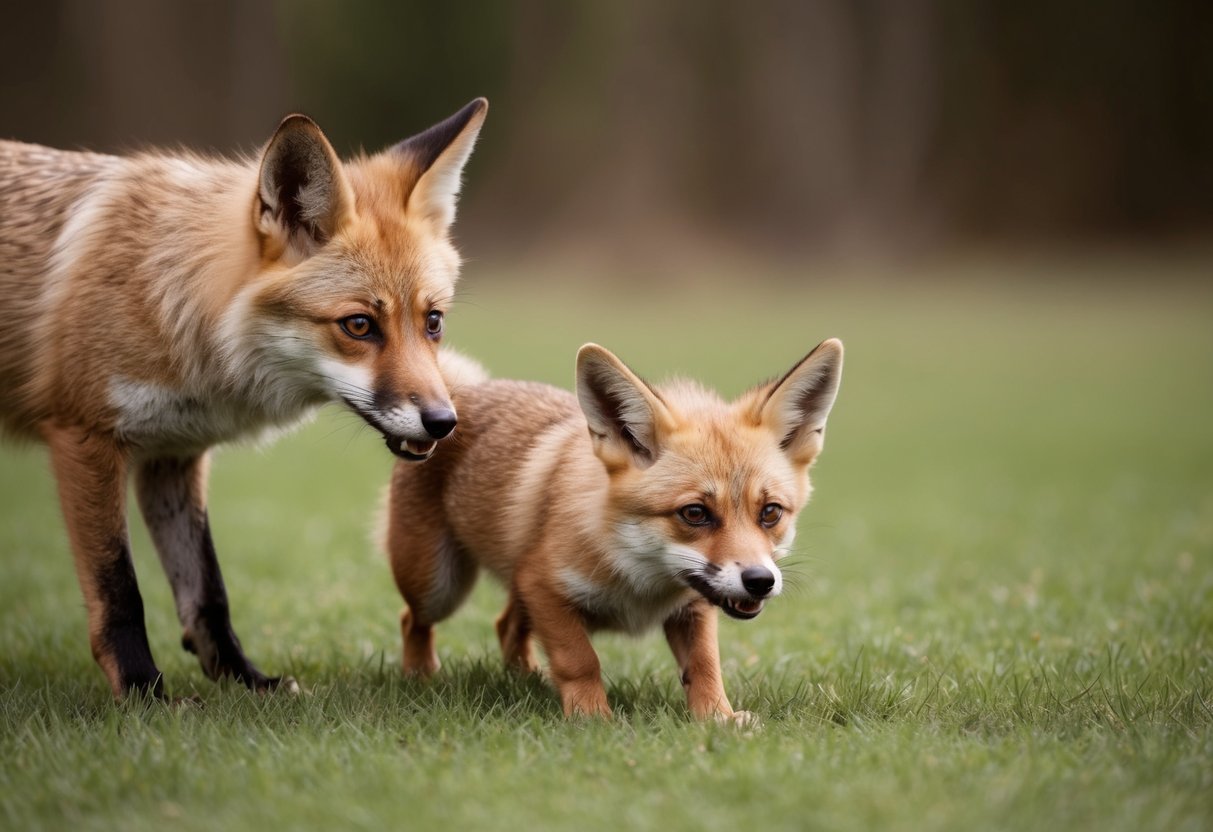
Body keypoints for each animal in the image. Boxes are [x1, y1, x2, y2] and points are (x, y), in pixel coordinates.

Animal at [0, 98, 488, 700]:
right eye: (358, 325)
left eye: (433, 322)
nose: (444, 422)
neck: (168, 298)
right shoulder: (84, 436)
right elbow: (120, 590)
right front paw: (143, 692)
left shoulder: (173, 454)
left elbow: (208, 590)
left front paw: (244, 681)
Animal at [385, 339, 843, 720]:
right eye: (695, 513)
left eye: (770, 513)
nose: (760, 581)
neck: (641, 576)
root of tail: (462, 395)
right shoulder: (544, 586)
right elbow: (580, 660)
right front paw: (592, 720)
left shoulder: (694, 604)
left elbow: (705, 666)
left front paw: (718, 720)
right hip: (438, 586)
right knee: (412, 621)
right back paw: (420, 679)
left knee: (505, 625)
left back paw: (525, 680)